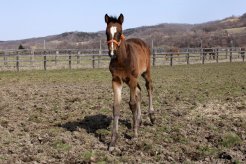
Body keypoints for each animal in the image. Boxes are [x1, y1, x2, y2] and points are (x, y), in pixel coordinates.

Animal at [104, 13, 155, 151]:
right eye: (107, 32)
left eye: (120, 32)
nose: (112, 52)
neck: (122, 59)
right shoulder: (116, 80)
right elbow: (116, 107)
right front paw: (113, 142)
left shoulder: (132, 79)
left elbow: (132, 104)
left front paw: (135, 135)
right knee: (139, 92)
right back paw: (139, 120)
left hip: (145, 72)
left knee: (148, 87)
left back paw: (151, 116)